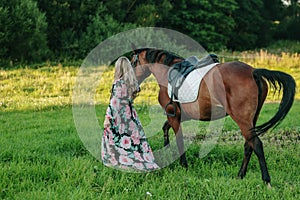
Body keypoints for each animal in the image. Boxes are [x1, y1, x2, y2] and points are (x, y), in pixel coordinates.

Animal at [131, 47, 296, 185]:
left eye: (133, 62)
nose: (133, 87)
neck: (167, 73)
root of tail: (253, 71)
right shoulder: (180, 115)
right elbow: (166, 128)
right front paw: (167, 149)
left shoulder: (174, 116)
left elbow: (179, 140)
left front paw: (183, 165)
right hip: (252, 120)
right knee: (248, 145)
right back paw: (240, 175)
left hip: (242, 120)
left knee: (257, 145)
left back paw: (266, 180)